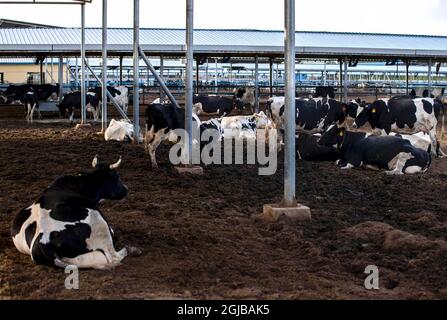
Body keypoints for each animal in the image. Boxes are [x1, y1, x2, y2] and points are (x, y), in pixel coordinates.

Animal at [10, 156, 140, 268]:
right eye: (116, 177)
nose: (126, 190)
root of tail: (42, 243)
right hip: (98, 221)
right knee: (113, 256)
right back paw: (132, 249)